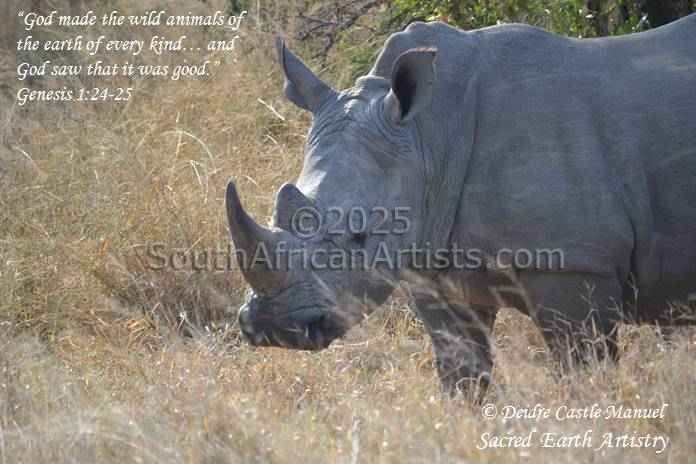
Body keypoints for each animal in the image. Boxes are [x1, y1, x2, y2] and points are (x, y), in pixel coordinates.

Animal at [226, 14, 696, 397]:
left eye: (360, 237)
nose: (274, 327)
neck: (428, 136)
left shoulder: (575, 264)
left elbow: (584, 373)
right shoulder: (433, 266)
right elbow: (462, 376)